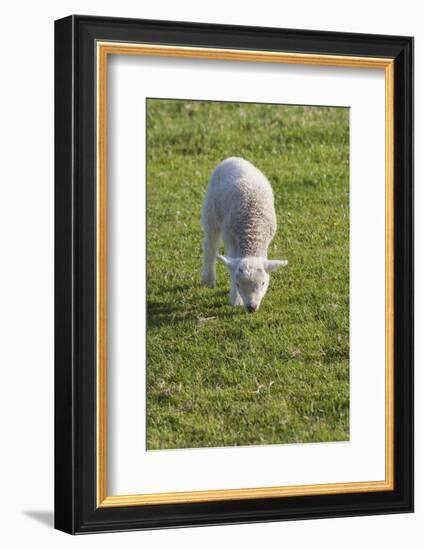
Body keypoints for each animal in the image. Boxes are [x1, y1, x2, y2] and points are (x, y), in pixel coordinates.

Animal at [202, 158, 288, 314]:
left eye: (263, 283)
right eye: (237, 283)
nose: (251, 307)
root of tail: (233, 158)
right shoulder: (229, 236)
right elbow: (231, 266)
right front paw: (235, 300)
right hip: (211, 212)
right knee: (210, 246)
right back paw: (209, 280)